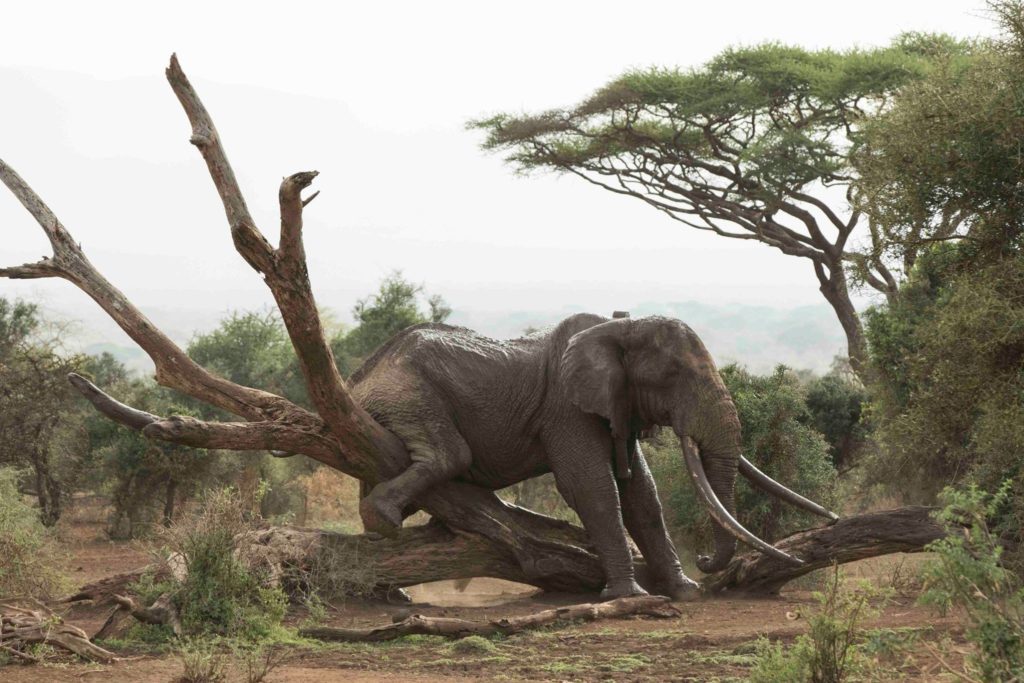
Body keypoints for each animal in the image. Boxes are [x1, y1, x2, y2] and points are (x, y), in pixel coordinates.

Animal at [353, 312, 837, 599]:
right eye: (672, 375)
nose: (703, 562)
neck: (620, 327)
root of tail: (363, 370)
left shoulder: (619, 405)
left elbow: (642, 494)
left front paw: (683, 592)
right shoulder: (566, 408)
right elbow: (592, 486)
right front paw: (629, 596)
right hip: (405, 389)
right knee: (449, 454)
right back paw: (384, 519)